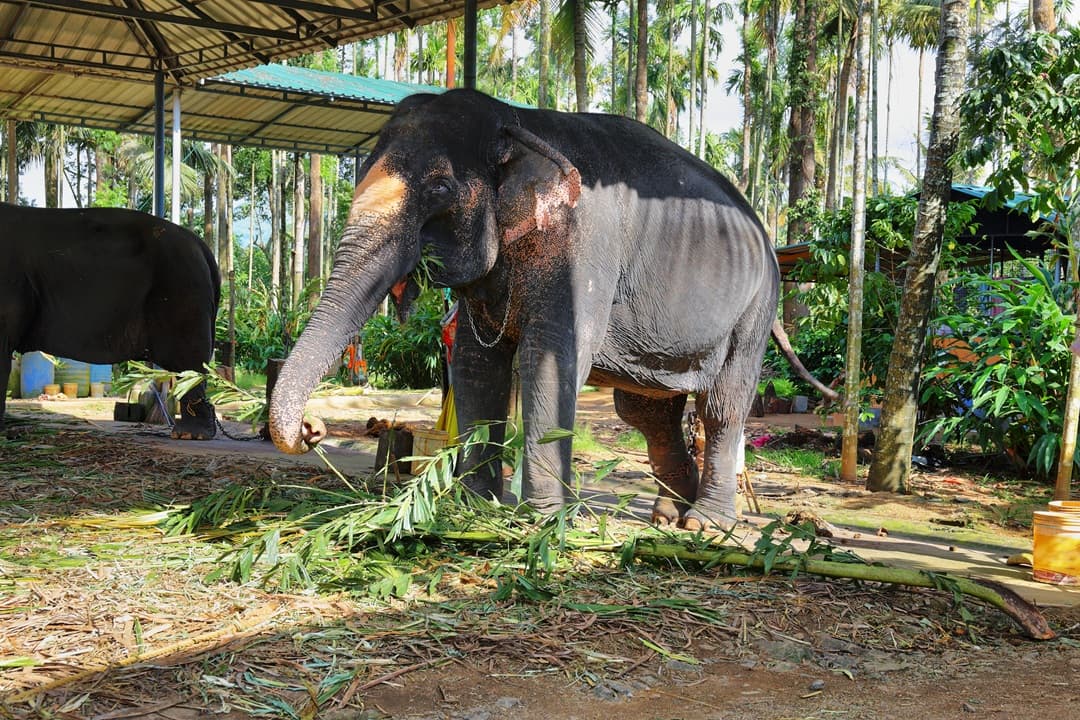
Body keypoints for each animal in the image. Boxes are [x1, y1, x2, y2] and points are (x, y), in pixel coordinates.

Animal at [269, 88, 836, 530]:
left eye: (439, 187)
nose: (313, 430)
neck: (516, 121)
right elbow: (477, 365)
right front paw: (476, 508)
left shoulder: (585, 246)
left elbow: (549, 356)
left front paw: (543, 520)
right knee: (648, 412)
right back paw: (666, 517)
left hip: (755, 310)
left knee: (722, 404)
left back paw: (706, 524)